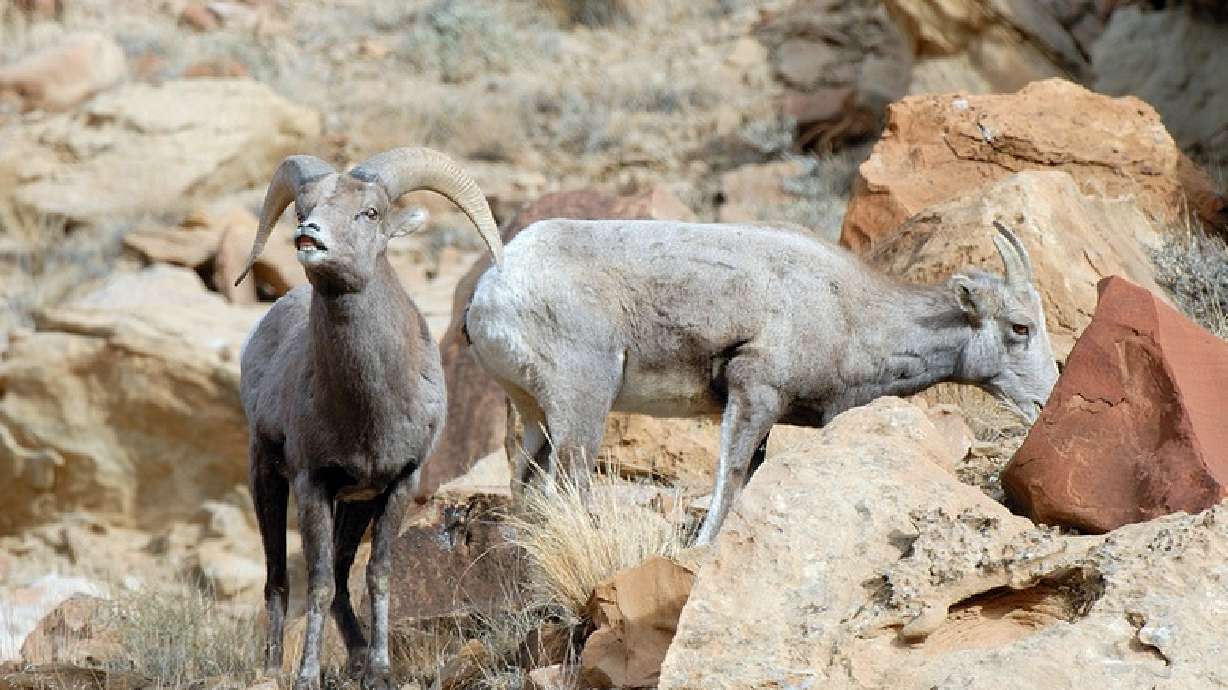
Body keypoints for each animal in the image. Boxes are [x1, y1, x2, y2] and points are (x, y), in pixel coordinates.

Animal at [236, 147, 503, 689]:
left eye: (371, 213)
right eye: (302, 209)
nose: (310, 235)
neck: (368, 408)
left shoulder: (397, 483)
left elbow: (376, 575)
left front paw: (379, 670)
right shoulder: (312, 484)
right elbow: (316, 583)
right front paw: (308, 675)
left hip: (355, 505)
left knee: (341, 576)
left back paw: (358, 657)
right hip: (267, 480)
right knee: (279, 578)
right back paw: (273, 666)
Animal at [464, 219, 1057, 545]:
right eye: (1019, 328)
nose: (1045, 399)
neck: (852, 314)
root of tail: (492, 289)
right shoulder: (754, 394)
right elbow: (727, 482)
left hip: (537, 417)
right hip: (583, 407)